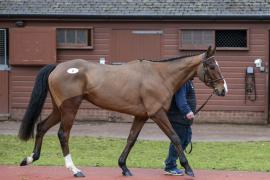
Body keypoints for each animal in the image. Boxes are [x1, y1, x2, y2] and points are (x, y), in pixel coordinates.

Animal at [17, 45, 227, 178]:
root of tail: (58, 66)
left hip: (58, 108)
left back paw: (30, 159)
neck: (160, 75)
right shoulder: (157, 113)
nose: (223, 89)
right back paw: (74, 170)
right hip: (70, 108)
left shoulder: (141, 116)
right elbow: (175, 137)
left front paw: (123, 167)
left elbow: (131, 139)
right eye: (211, 66)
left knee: (41, 126)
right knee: (63, 134)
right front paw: (188, 168)